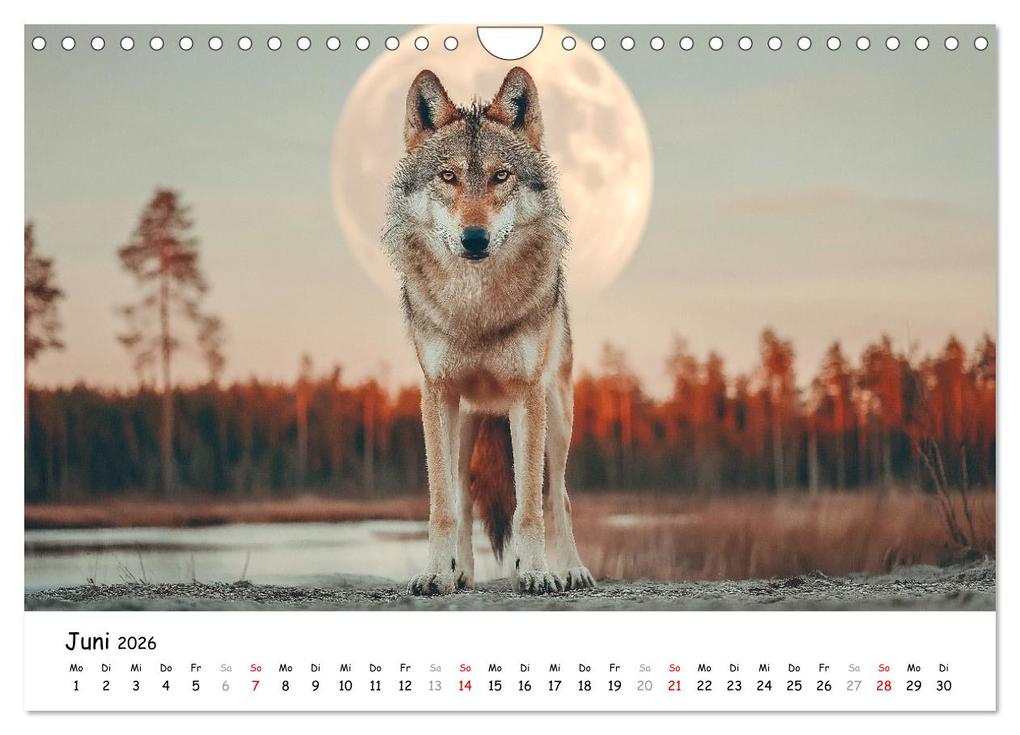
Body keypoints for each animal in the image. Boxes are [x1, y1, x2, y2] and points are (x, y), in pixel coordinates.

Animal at [383, 67, 595, 595]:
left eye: (501, 176)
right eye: (449, 177)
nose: (474, 238)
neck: (476, 309)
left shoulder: (527, 395)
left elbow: (529, 509)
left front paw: (536, 573)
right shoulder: (436, 394)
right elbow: (442, 506)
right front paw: (436, 573)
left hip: (558, 418)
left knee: (557, 496)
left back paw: (571, 569)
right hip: (464, 423)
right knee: (461, 496)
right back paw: (460, 572)